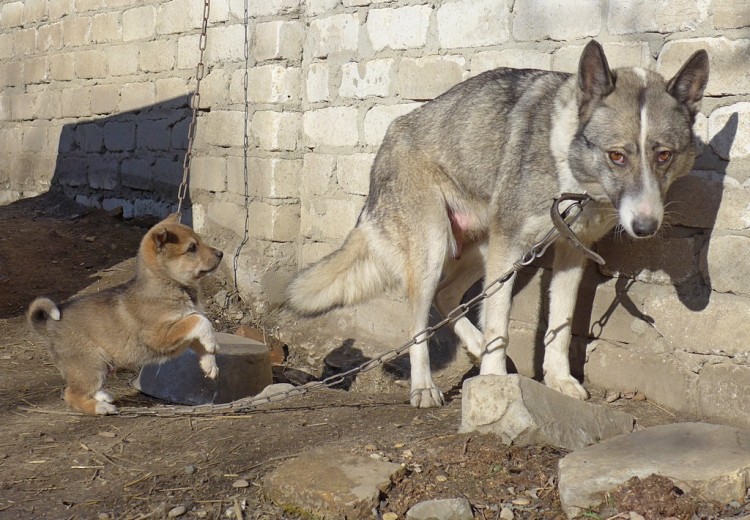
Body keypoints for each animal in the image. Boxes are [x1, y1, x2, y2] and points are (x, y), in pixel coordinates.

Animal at [27, 214, 226, 414]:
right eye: (192, 248)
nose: (221, 254)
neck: (169, 283)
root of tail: (48, 326)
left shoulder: (182, 334)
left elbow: (200, 337)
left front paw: (210, 364)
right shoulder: (159, 335)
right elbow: (199, 320)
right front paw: (212, 346)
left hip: (100, 364)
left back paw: (103, 396)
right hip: (90, 363)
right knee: (71, 394)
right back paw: (101, 408)